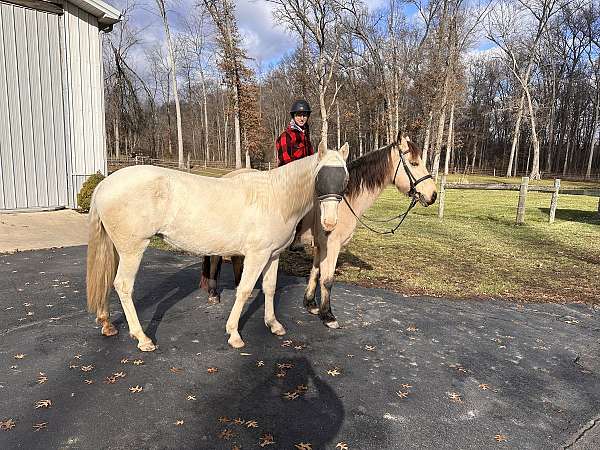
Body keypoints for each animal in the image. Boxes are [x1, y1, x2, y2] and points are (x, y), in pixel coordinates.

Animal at [86, 142, 350, 350]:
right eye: (321, 177)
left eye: (344, 179)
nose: (330, 223)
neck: (275, 198)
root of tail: (104, 184)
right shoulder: (256, 256)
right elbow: (244, 290)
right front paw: (234, 334)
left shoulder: (273, 255)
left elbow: (270, 288)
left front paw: (273, 324)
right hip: (133, 249)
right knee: (123, 285)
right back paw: (142, 338)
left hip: (117, 248)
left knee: (108, 279)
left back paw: (107, 324)